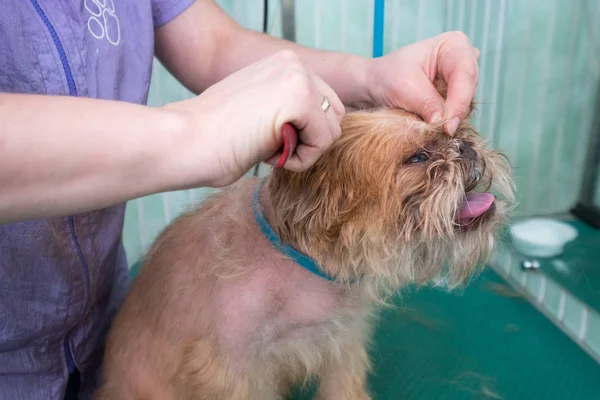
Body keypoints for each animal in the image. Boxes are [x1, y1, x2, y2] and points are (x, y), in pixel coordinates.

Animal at [95, 79, 516, 400]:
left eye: (457, 134)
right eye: (417, 158)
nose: (463, 146)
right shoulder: (235, 375)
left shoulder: (342, 345)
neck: (304, 261)